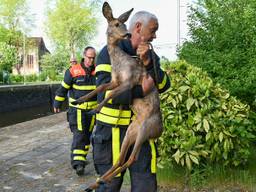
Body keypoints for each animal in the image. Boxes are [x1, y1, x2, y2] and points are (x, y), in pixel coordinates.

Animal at [78, 1, 164, 190]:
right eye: (117, 24)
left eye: (124, 24)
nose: (127, 34)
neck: (119, 62)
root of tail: (159, 131)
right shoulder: (115, 80)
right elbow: (101, 87)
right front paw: (82, 99)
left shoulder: (128, 82)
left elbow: (111, 94)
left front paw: (95, 110)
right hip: (131, 133)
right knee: (119, 159)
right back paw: (97, 182)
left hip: (145, 129)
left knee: (132, 158)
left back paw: (102, 180)